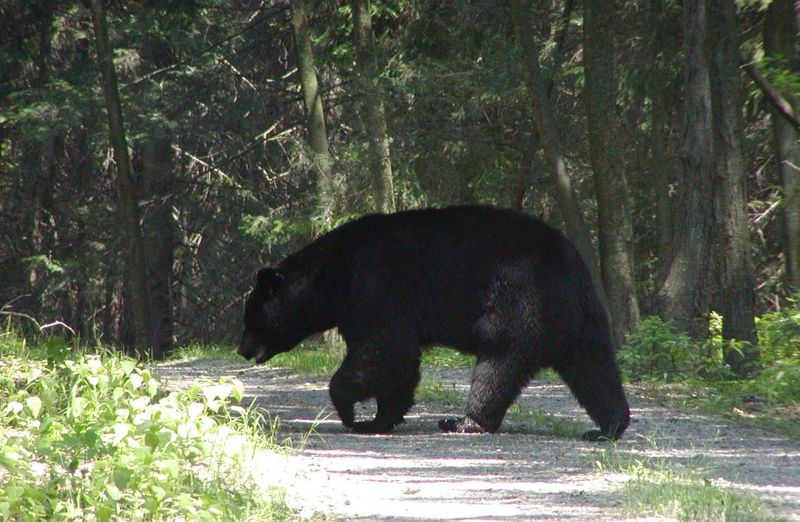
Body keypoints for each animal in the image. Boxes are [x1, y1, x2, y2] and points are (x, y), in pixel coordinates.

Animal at [238, 204, 632, 438]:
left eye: (251, 318)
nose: (242, 349)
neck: (332, 275)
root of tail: (575, 269)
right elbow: (399, 362)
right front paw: (382, 418)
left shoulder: (375, 285)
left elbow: (384, 348)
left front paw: (351, 413)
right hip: (581, 323)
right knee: (595, 370)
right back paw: (609, 427)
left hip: (520, 305)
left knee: (498, 365)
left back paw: (464, 421)